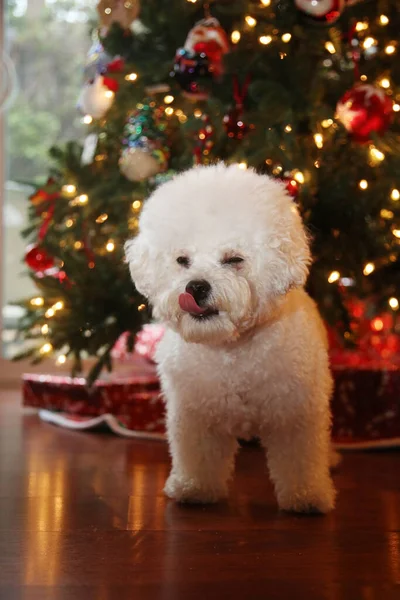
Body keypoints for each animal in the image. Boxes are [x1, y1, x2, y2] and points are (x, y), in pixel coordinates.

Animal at [124, 165, 334, 516]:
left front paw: (307, 495)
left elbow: (299, 459)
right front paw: (194, 488)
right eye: (182, 260)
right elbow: (199, 457)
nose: (195, 287)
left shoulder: (294, 412)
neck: (231, 347)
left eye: (234, 259)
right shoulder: (195, 414)